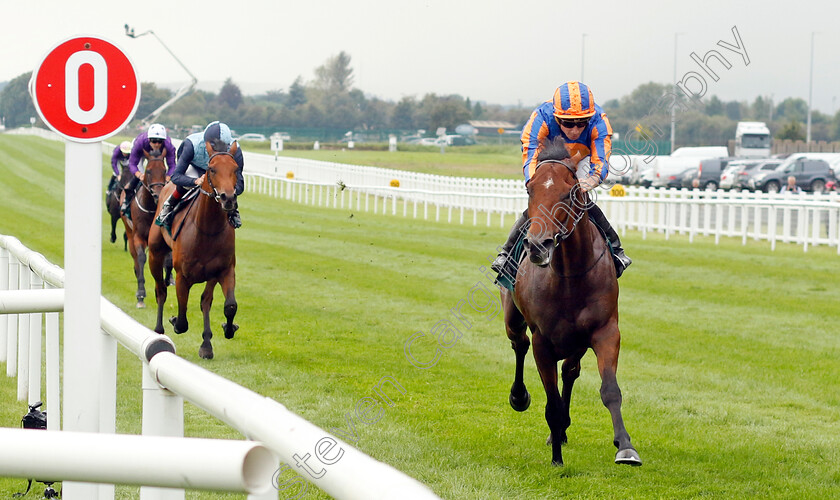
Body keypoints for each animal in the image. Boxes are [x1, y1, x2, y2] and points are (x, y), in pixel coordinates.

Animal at [120, 150, 170, 308]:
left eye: (164, 170)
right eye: (148, 171)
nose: (158, 194)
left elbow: (168, 258)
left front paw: (168, 279)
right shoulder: (139, 236)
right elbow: (141, 258)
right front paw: (141, 294)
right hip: (129, 233)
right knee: (136, 259)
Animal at [147, 142, 240, 360]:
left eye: (235, 169)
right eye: (212, 169)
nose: (228, 198)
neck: (207, 230)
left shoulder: (223, 271)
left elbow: (226, 305)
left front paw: (222, 333)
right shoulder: (182, 276)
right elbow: (182, 318)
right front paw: (175, 322)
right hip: (155, 255)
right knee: (160, 290)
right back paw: (158, 330)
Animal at [498, 136, 644, 464]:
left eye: (570, 192)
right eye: (530, 189)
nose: (537, 246)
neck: (570, 275)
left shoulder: (605, 331)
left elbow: (610, 390)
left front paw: (626, 446)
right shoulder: (543, 341)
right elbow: (551, 401)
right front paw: (556, 459)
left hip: (577, 341)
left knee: (570, 371)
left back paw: (562, 430)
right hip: (512, 316)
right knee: (519, 344)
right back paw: (520, 397)